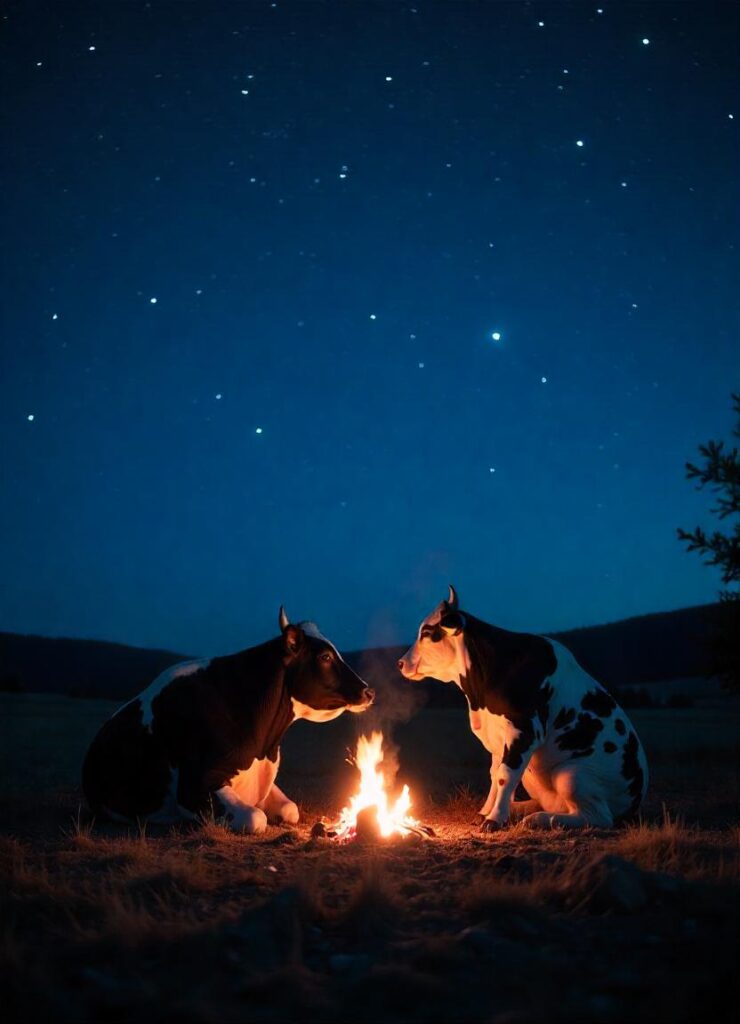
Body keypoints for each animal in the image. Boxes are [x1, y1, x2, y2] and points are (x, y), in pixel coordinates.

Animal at [83, 606, 372, 831]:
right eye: (325, 656)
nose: (368, 691)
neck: (264, 744)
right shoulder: (194, 785)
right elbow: (256, 818)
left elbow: (291, 809)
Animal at [399, 589, 646, 827]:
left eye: (426, 632)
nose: (400, 663)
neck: (479, 698)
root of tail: (636, 800)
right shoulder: (499, 737)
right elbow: (495, 773)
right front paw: (486, 811)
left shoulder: (524, 729)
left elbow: (505, 775)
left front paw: (494, 819)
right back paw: (523, 810)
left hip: (572, 774)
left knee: (597, 817)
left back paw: (543, 819)